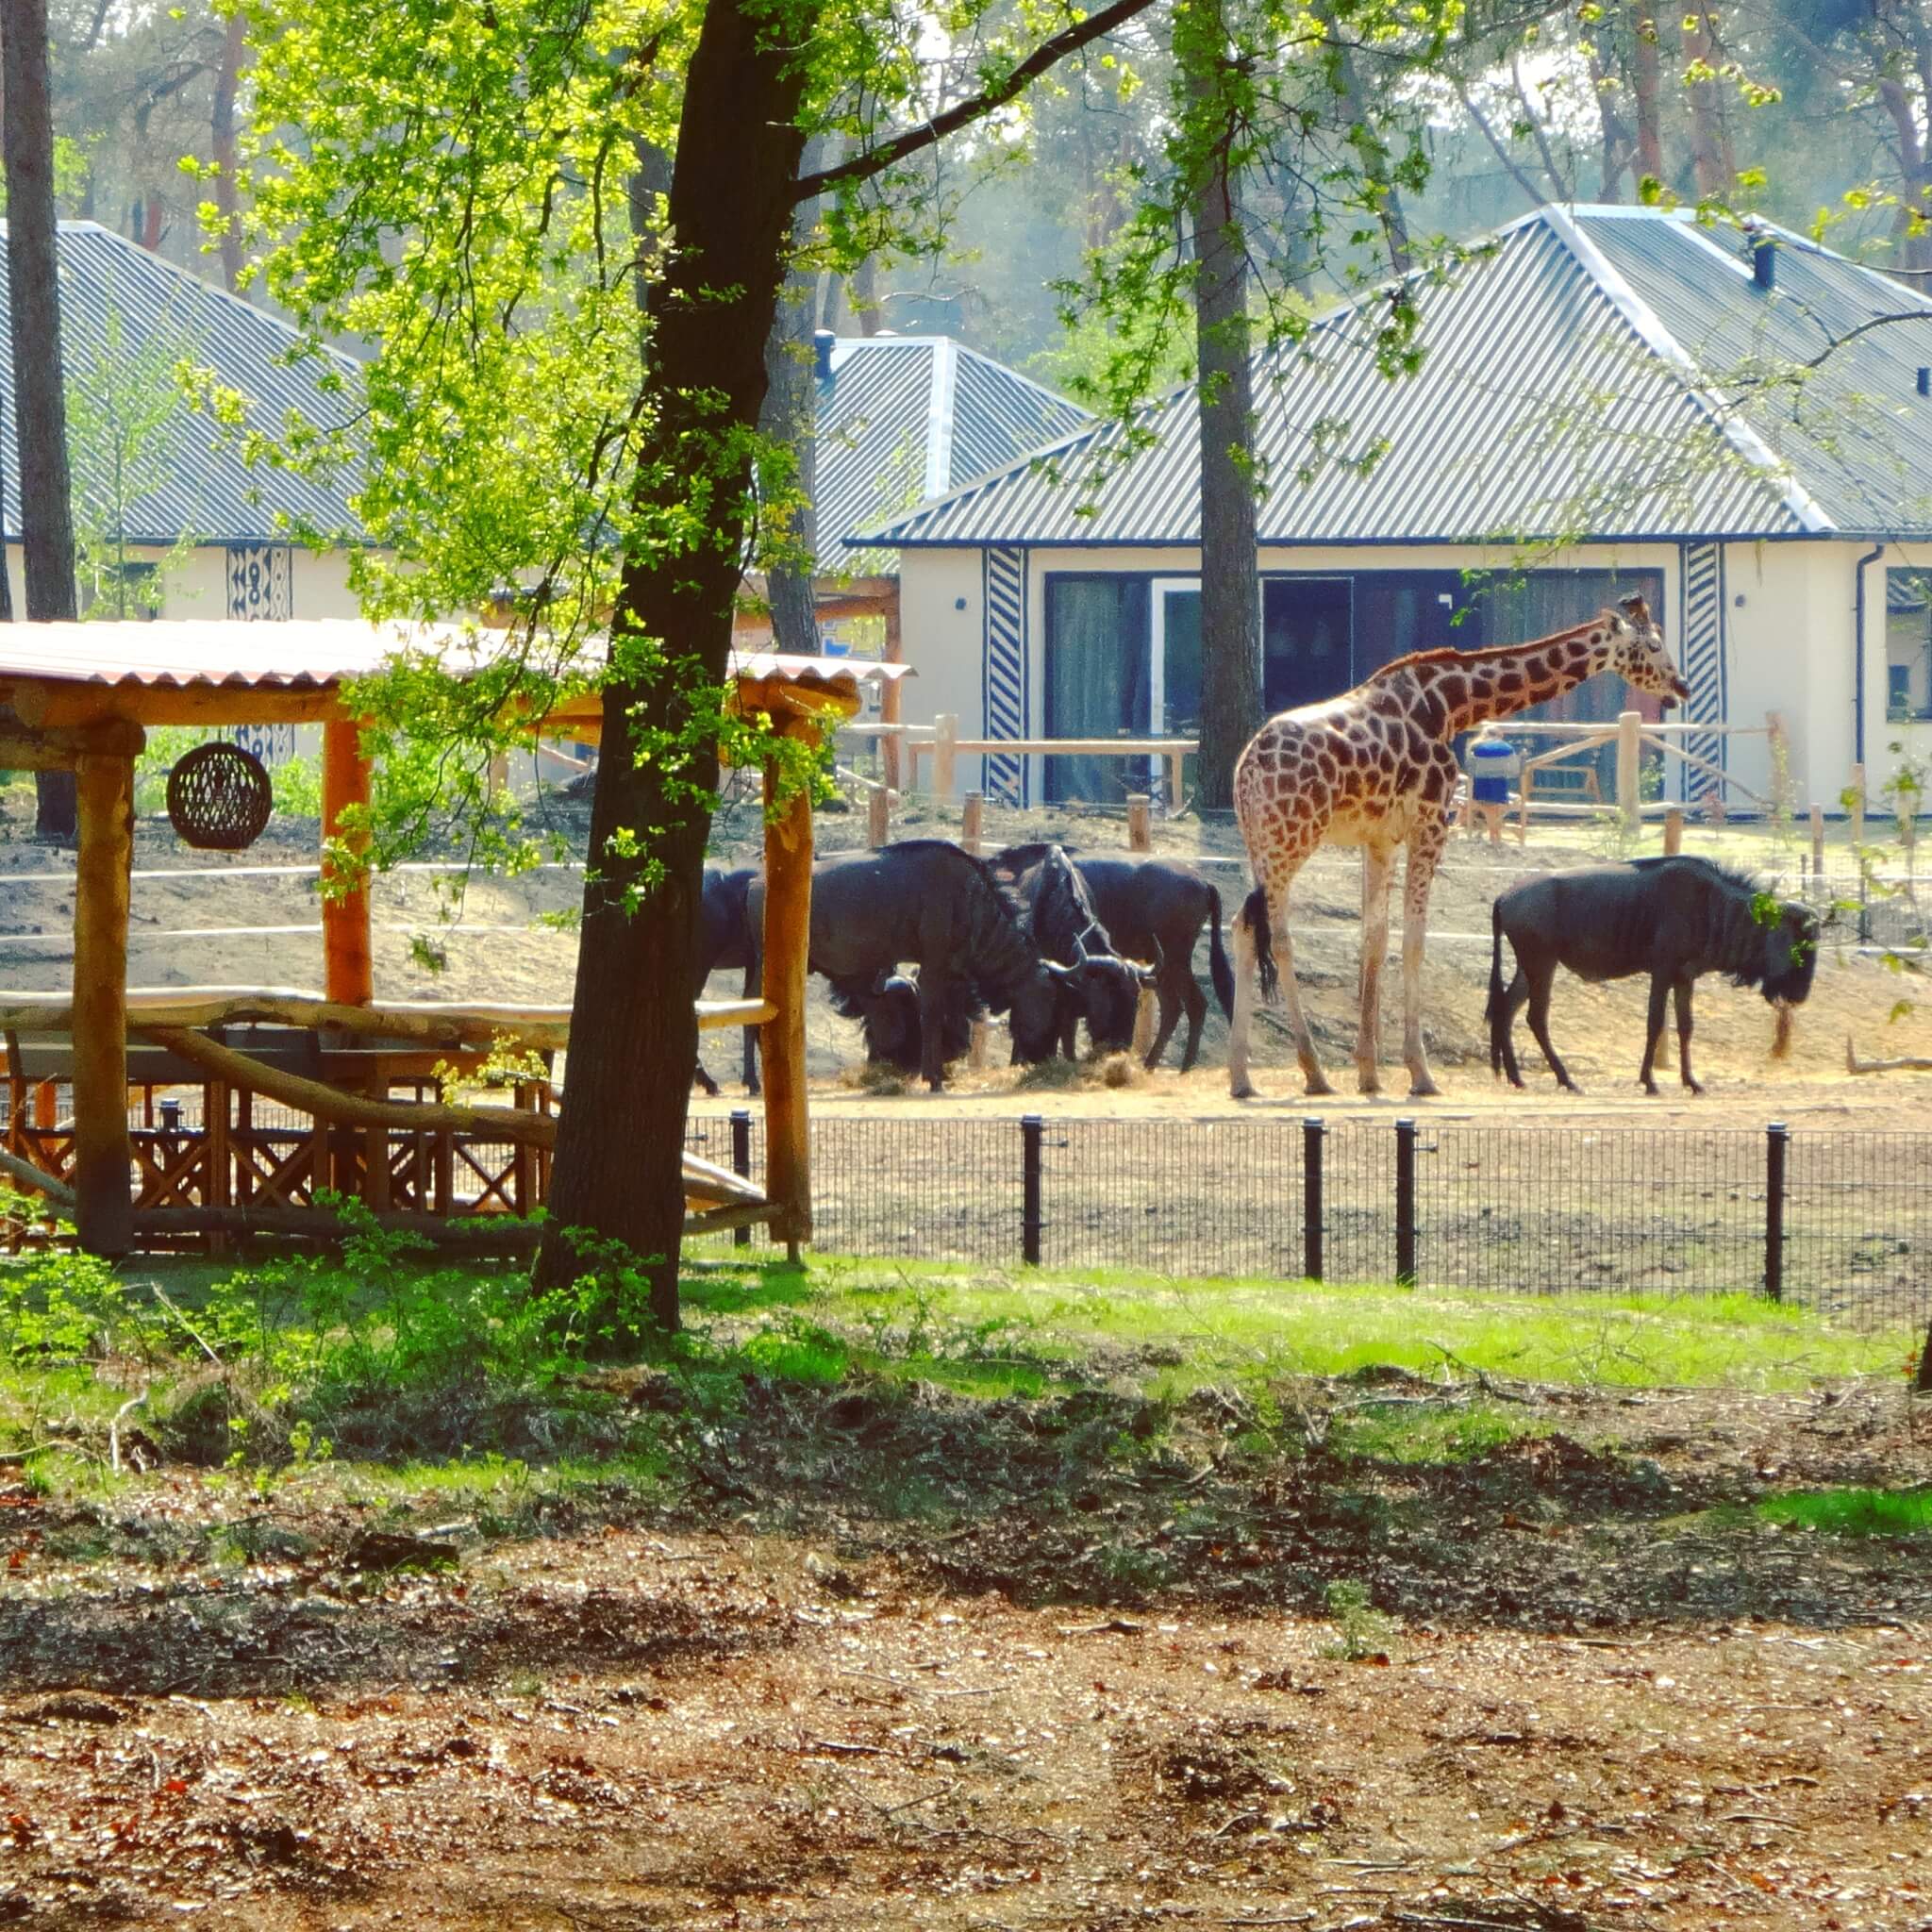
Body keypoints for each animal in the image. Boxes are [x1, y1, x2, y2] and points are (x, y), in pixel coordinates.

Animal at [1228, 587, 1684, 1105]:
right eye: (1652, 646)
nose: (1680, 687)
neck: (1451, 704)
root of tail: (1246, 769)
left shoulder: (1380, 837)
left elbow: (1374, 938)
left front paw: (1369, 1073)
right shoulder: (1431, 822)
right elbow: (1414, 940)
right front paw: (1420, 1072)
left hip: (1261, 844)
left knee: (1244, 925)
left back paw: (1242, 1077)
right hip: (1292, 838)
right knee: (1279, 937)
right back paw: (1314, 1072)